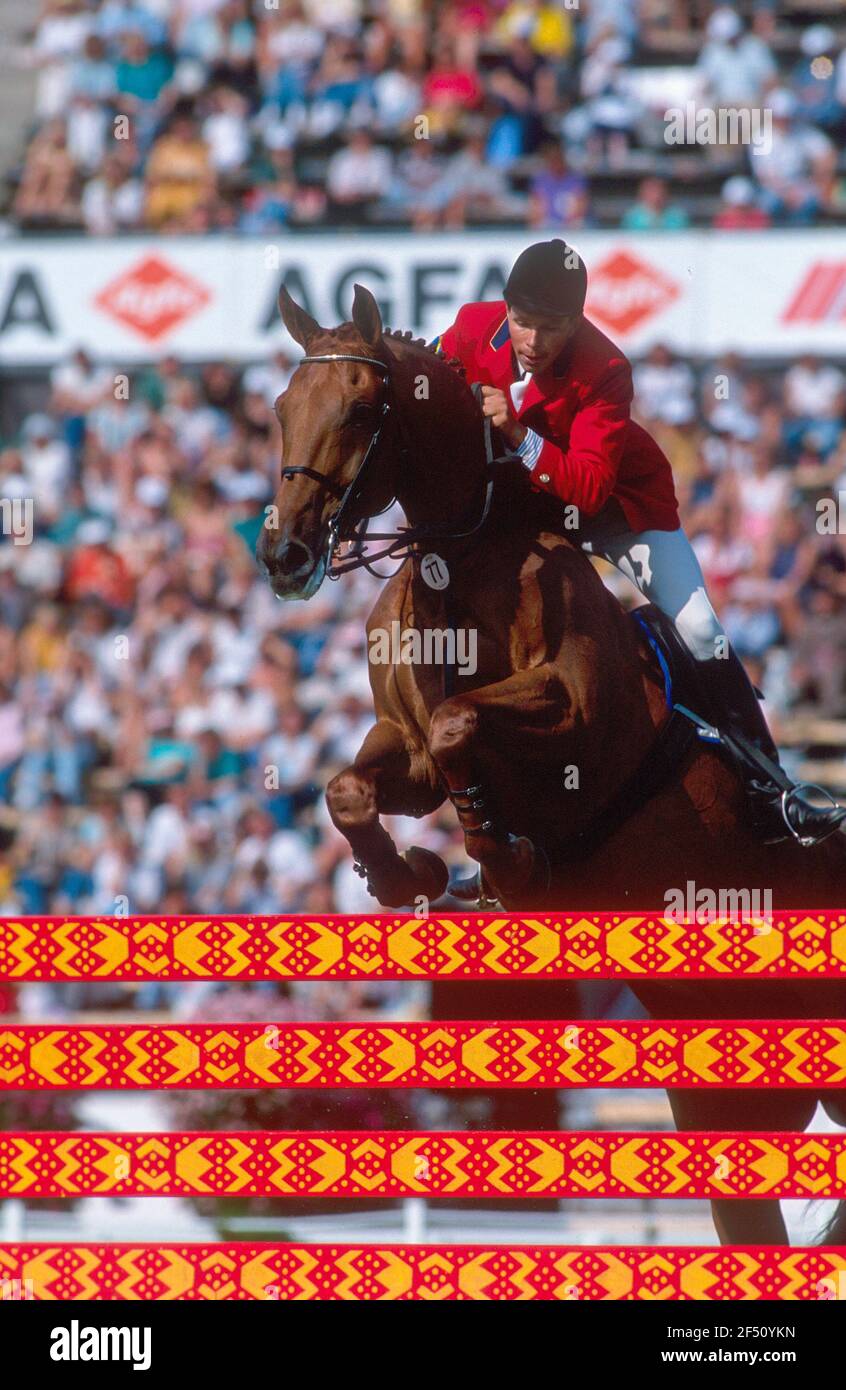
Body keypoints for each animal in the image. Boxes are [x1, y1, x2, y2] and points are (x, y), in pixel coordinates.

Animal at [256, 284, 844, 1251]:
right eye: (278, 410)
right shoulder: (402, 747)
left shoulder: (572, 721)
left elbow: (460, 725)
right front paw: (413, 874)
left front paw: (504, 862)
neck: (463, 553)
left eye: (361, 409)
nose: (285, 557)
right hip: (736, 1116)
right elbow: (357, 786)